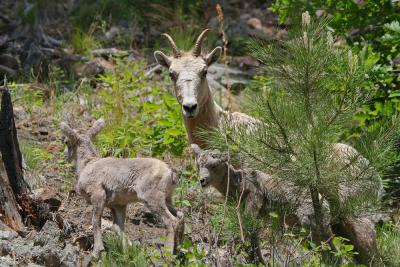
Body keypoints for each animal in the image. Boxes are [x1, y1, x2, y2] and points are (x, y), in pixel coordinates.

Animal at [60, 119, 184, 258]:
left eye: (66, 141)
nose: (65, 155)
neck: (87, 165)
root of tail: (170, 172)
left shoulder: (98, 196)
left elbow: (96, 222)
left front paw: (97, 252)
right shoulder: (118, 205)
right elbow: (117, 227)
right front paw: (126, 252)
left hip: (153, 200)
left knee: (171, 221)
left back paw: (168, 255)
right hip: (167, 199)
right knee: (180, 216)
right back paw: (178, 251)